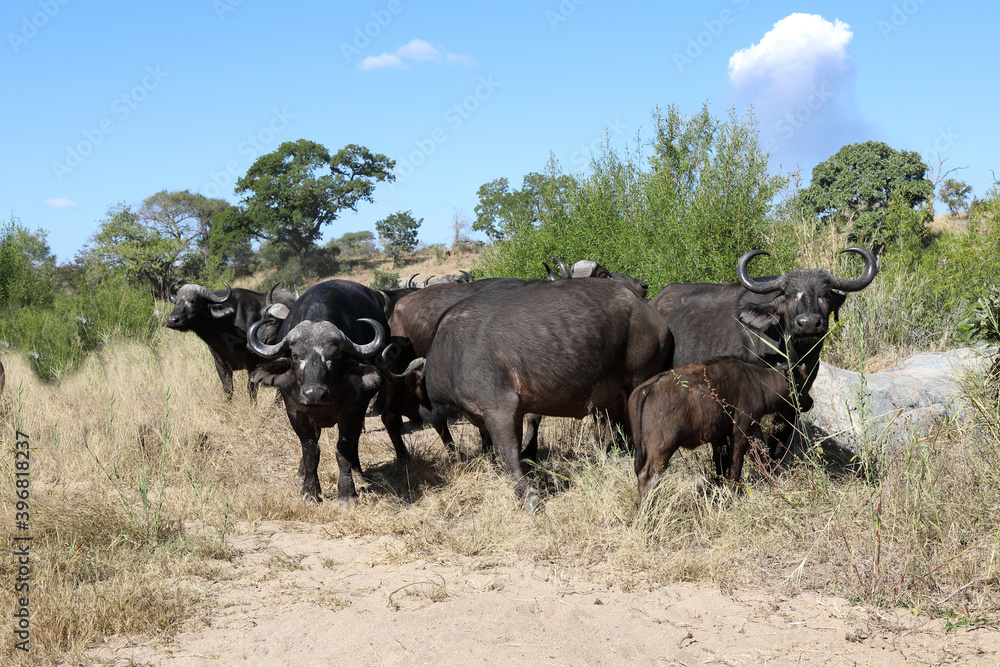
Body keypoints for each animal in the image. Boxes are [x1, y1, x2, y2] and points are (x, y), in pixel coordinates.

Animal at [165, 282, 297, 400]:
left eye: (194, 301)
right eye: (176, 302)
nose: (172, 320)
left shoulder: (253, 364)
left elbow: (251, 389)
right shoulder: (220, 364)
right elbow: (228, 390)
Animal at [247, 280, 388, 504]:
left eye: (335, 355)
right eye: (295, 356)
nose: (314, 393)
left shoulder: (354, 410)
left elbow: (343, 449)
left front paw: (347, 493)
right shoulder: (295, 412)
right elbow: (310, 450)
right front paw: (310, 491)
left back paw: (357, 471)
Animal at [629, 358, 808, 501]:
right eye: (802, 383)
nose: (810, 402)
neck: (758, 382)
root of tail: (647, 388)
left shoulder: (718, 436)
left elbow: (721, 462)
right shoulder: (741, 433)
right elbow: (736, 463)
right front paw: (734, 491)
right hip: (663, 450)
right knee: (649, 477)